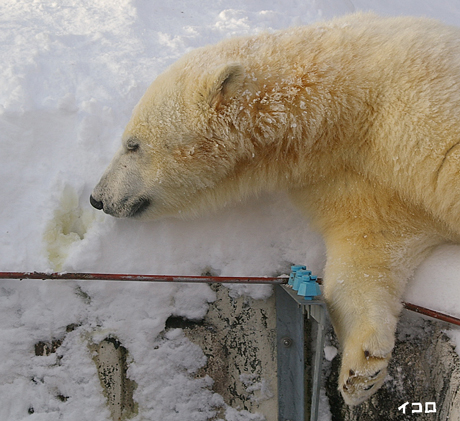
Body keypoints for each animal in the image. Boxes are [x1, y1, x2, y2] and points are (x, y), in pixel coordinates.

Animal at [91, 13, 460, 404]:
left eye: (133, 144)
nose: (97, 197)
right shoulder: (344, 173)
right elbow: (371, 245)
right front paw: (361, 370)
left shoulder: (418, 102)